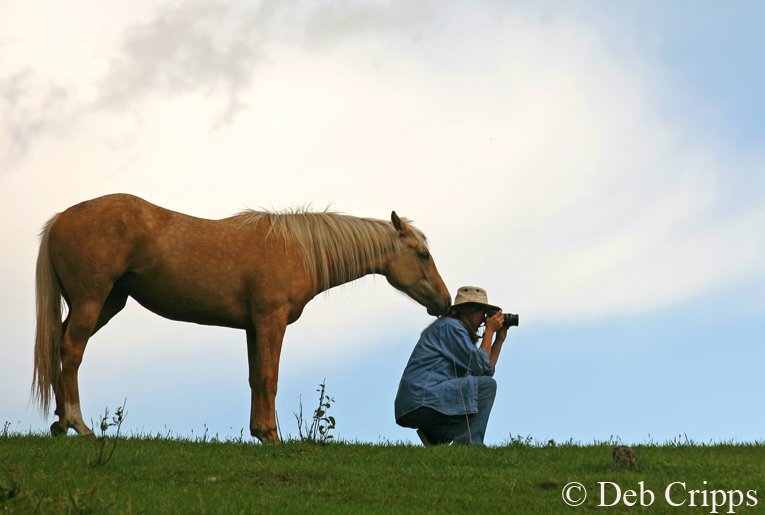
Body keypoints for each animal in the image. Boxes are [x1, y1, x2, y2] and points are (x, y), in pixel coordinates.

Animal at [34, 194, 454, 444]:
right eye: (421, 254)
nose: (445, 301)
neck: (295, 250)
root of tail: (60, 219)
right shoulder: (271, 322)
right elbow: (269, 378)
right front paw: (272, 436)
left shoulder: (254, 327)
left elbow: (255, 378)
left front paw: (259, 433)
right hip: (92, 301)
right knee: (71, 350)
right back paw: (78, 424)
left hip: (105, 303)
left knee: (58, 347)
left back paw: (59, 423)